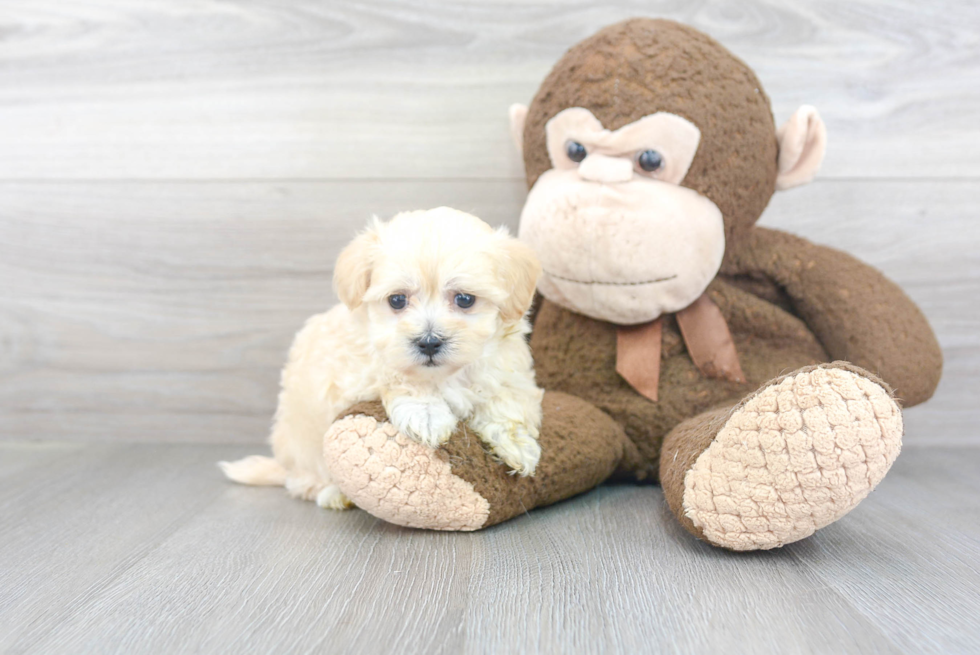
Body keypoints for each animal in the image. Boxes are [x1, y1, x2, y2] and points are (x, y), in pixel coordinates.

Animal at [219, 208, 544, 510]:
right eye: (397, 300)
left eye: (465, 299)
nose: (428, 342)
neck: (443, 375)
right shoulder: (358, 369)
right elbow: (399, 378)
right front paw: (427, 415)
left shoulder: (506, 368)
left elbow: (506, 400)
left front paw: (517, 444)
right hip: (304, 444)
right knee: (306, 482)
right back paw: (334, 494)